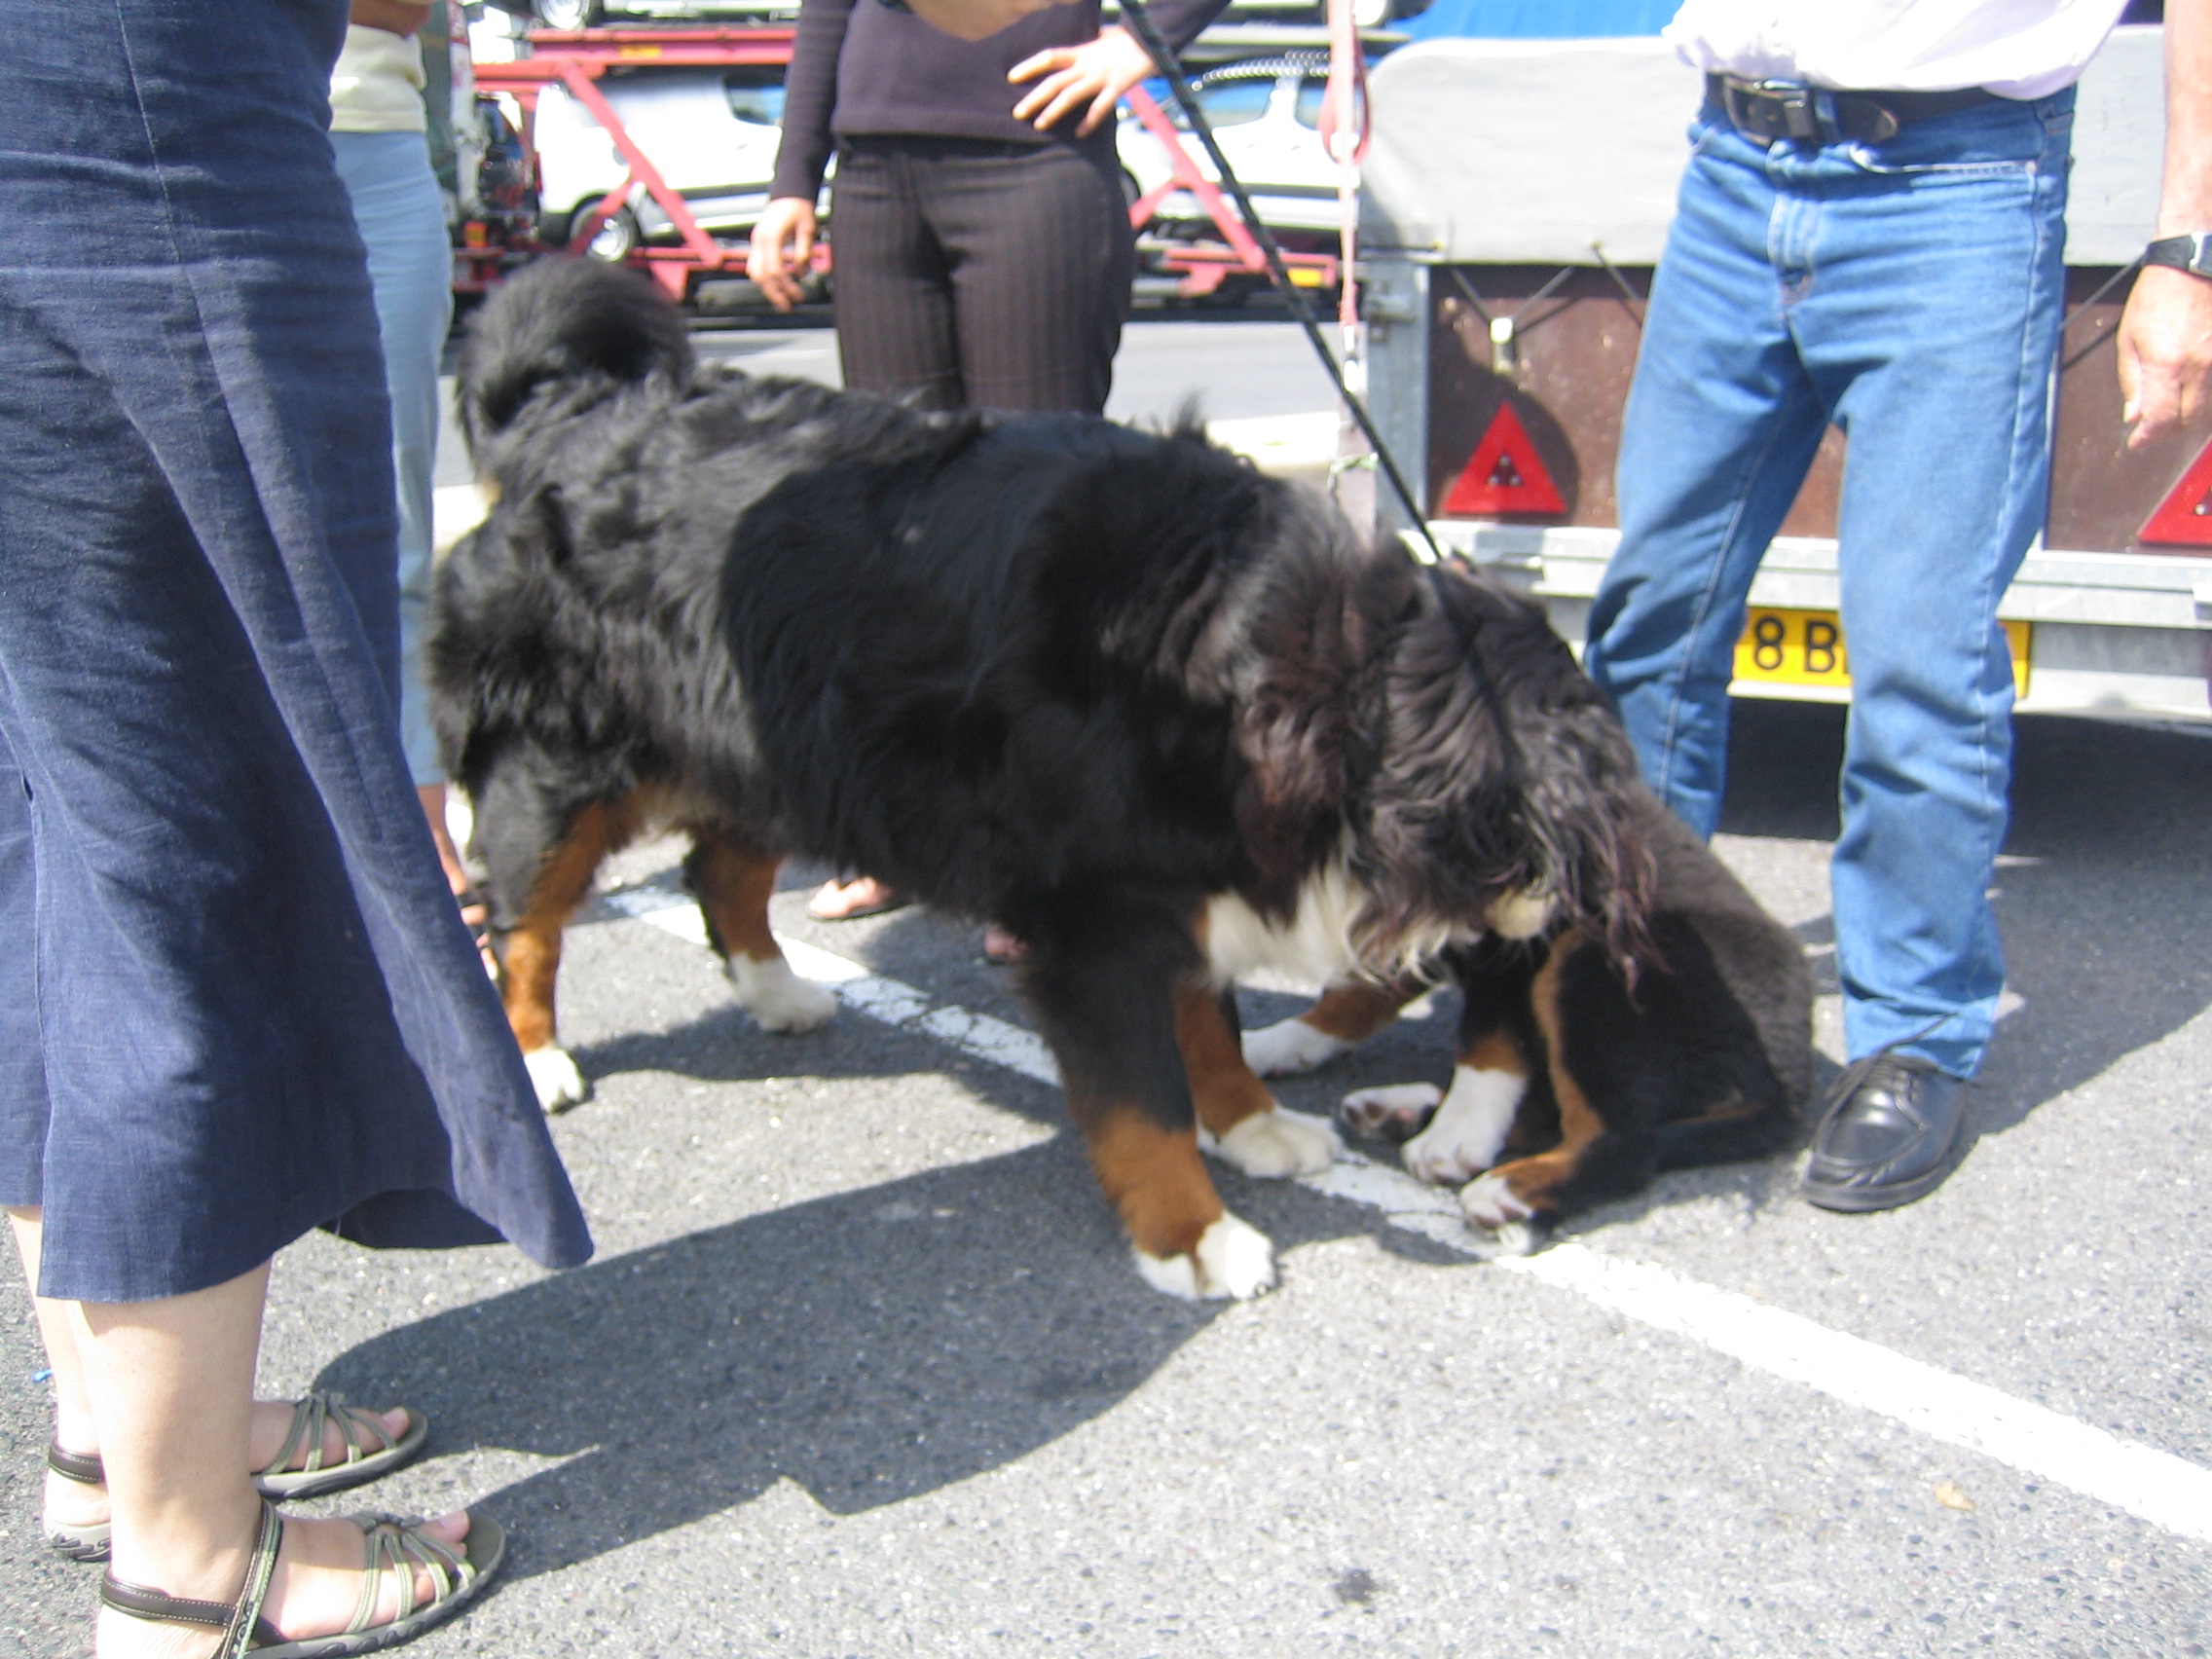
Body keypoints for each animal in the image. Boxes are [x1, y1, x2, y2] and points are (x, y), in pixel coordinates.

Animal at [431, 257, 1667, 1299]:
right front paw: (1194, 1236)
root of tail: (573, 416)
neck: (1263, 672)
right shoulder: (1095, 910)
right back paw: (533, 1060)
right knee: (528, 918)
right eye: (1552, 827)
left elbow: (1206, 1023)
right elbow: (1141, 1095)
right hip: (563, 756)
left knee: (719, 871)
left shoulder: (1187, 872)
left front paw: (1252, 1125)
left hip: (774, 731)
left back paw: (777, 993)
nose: (1568, 927)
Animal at [1245, 788, 1814, 1252]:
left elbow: (1488, 1038)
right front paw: (1280, 1042)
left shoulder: (1515, 926)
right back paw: (1403, 1112)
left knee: (1623, 1142)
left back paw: (1507, 1185)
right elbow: (1359, 990)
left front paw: (1461, 1130)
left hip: (1590, 956)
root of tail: (1789, 1085)